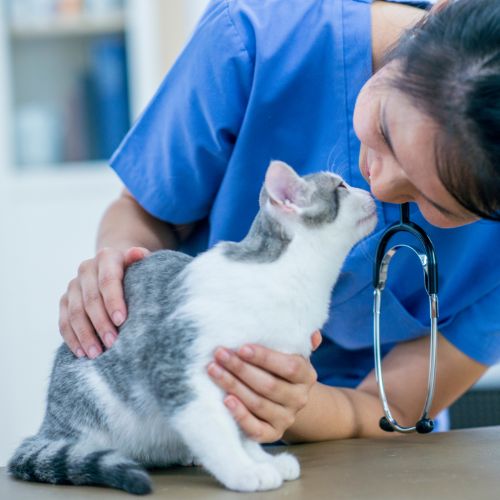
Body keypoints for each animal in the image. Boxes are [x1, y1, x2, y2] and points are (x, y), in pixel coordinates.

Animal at [7, 160, 376, 492]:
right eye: (341, 186)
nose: (369, 190)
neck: (292, 277)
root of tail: (52, 423)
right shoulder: (177, 367)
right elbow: (215, 427)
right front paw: (244, 470)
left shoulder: (245, 382)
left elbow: (243, 428)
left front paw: (259, 459)